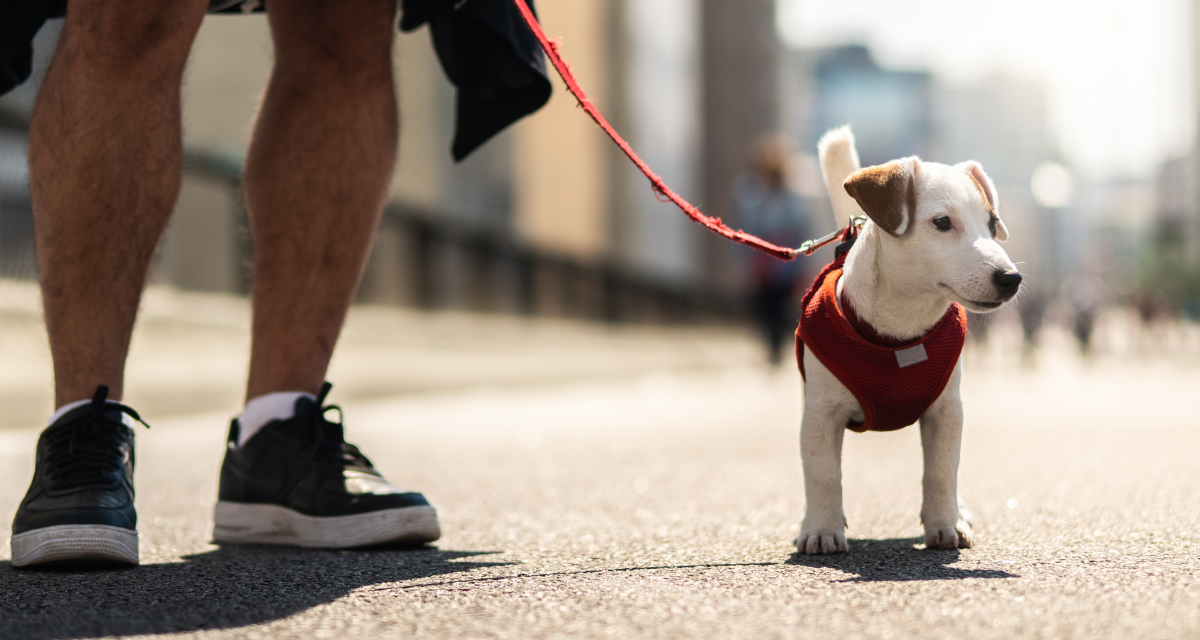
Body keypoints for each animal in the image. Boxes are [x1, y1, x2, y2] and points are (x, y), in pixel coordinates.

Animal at [796, 126, 1022, 554]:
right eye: (942, 222)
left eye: (991, 224)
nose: (1011, 278)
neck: (901, 332)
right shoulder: (820, 415)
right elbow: (823, 474)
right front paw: (822, 529)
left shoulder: (947, 411)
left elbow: (942, 470)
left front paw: (945, 524)